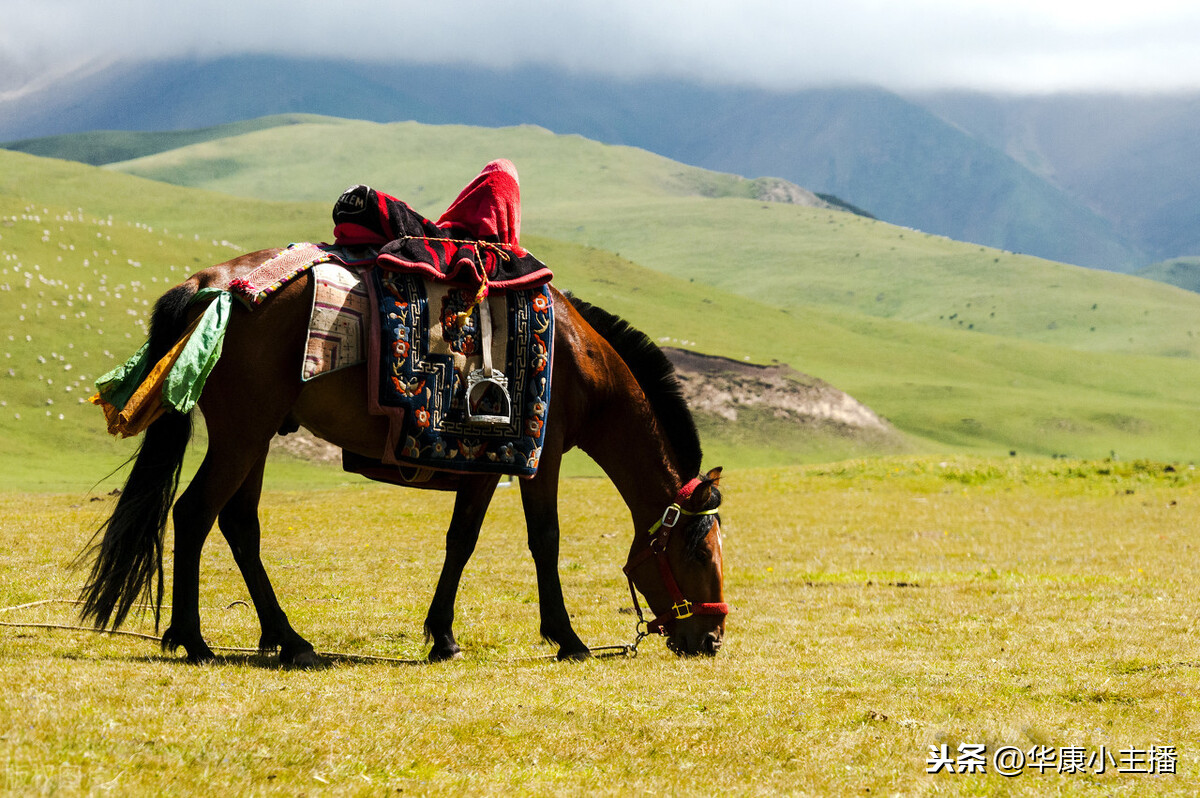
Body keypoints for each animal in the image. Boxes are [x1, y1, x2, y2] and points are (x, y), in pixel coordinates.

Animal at [77, 247, 729, 657]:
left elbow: (461, 542)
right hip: (242, 434)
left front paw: (442, 636)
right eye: (699, 550)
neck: (578, 361)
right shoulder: (540, 457)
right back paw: (194, 639)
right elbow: (545, 540)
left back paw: (289, 640)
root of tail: (210, 287)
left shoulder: (483, 464)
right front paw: (567, 639)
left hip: (257, 437)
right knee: (194, 515)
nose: (712, 640)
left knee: (239, 524)